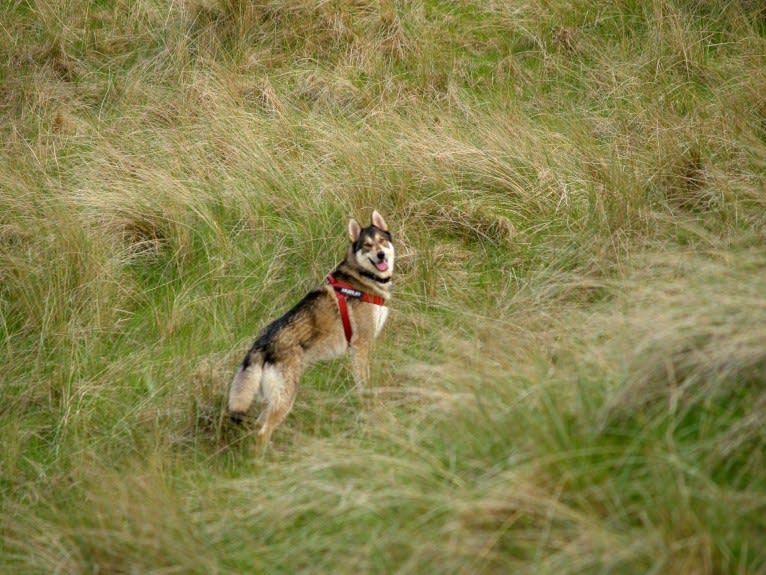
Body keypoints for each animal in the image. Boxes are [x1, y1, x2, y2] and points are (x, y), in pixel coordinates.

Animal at [228, 209, 396, 444]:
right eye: (367, 246)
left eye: (382, 241)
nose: (381, 255)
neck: (362, 278)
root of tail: (259, 347)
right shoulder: (361, 346)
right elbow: (366, 385)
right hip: (285, 399)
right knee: (263, 432)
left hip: (270, 400)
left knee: (258, 426)